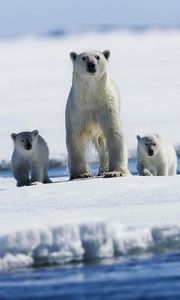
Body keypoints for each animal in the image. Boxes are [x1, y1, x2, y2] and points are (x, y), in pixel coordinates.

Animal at [65, 50, 129, 179]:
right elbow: (75, 136)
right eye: (84, 58)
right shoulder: (77, 110)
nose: (91, 64)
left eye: (98, 57)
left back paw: (103, 170)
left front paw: (115, 172)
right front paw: (81, 174)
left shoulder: (106, 106)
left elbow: (113, 132)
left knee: (103, 147)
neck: (90, 97)